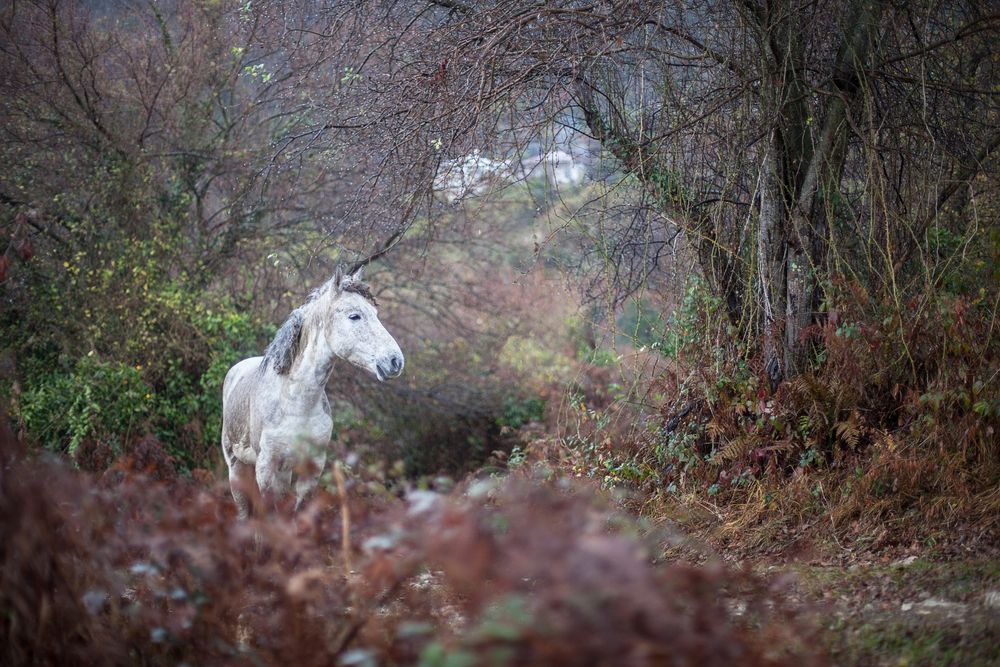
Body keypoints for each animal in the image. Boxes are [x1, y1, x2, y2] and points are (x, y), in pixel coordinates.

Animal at [221, 267, 403, 517]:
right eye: (354, 316)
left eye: (375, 313)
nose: (395, 361)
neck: (296, 403)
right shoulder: (266, 468)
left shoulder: (312, 468)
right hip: (236, 466)